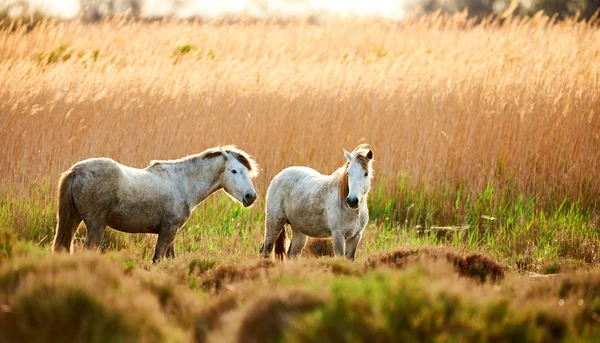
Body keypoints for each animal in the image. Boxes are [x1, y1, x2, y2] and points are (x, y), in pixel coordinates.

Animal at [52, 146, 258, 264]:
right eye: (234, 170)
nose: (251, 196)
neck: (182, 182)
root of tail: (76, 171)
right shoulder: (168, 230)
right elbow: (157, 259)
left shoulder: (171, 232)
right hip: (95, 226)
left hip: (74, 221)